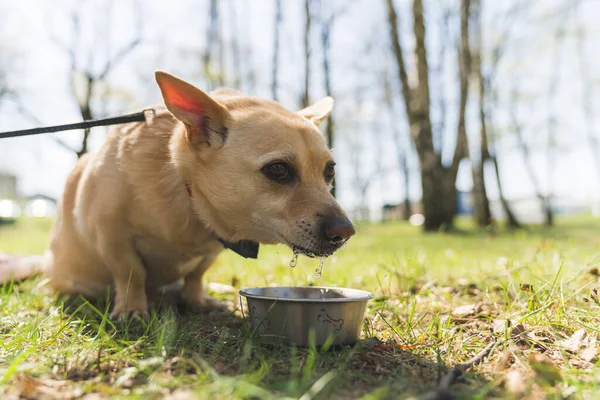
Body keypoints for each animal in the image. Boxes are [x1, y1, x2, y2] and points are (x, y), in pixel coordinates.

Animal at [1, 72, 356, 318]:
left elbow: (196, 275)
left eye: (329, 171)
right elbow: (131, 272)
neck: (186, 194)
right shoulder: (111, 235)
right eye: (278, 170)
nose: (346, 232)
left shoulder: (212, 249)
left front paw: (197, 299)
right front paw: (132, 309)